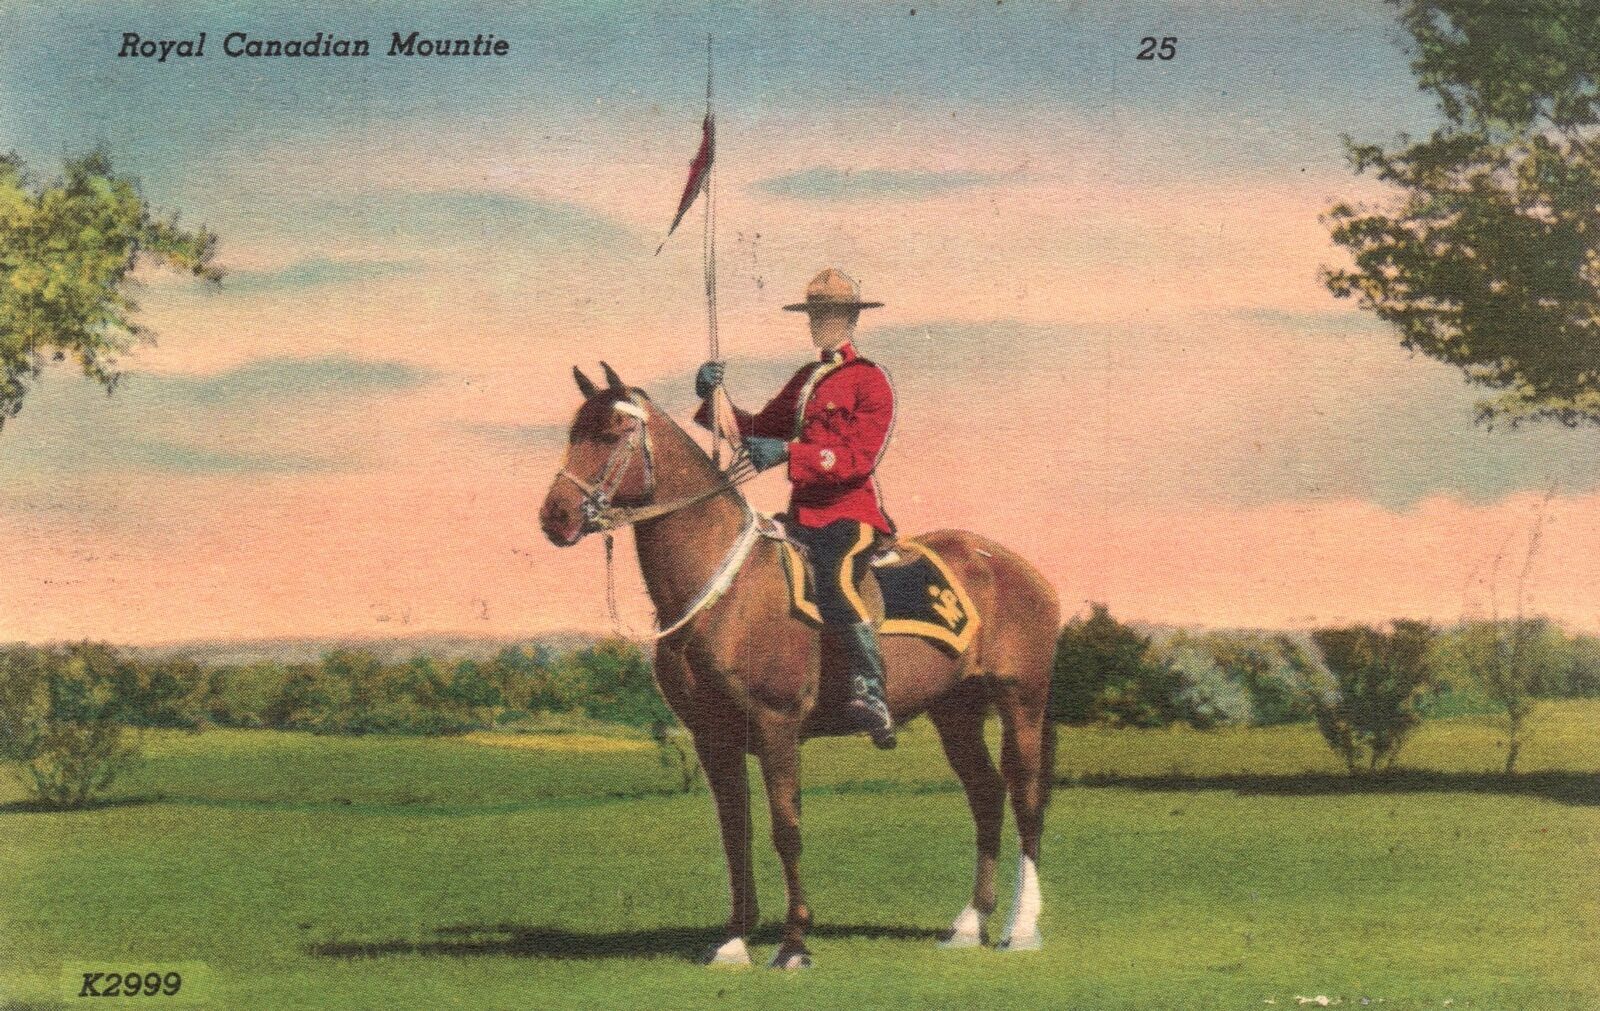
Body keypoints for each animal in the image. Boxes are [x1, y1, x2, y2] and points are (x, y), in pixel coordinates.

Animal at [540, 364, 1062, 972]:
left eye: (611, 434)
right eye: (573, 432)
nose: (555, 517)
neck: (726, 589)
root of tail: (1017, 568)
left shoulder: (777, 725)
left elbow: (785, 828)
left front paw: (793, 943)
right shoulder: (713, 736)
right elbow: (734, 832)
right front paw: (734, 938)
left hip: (1021, 702)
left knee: (1025, 798)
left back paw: (1020, 927)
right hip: (955, 711)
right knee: (985, 796)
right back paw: (969, 923)